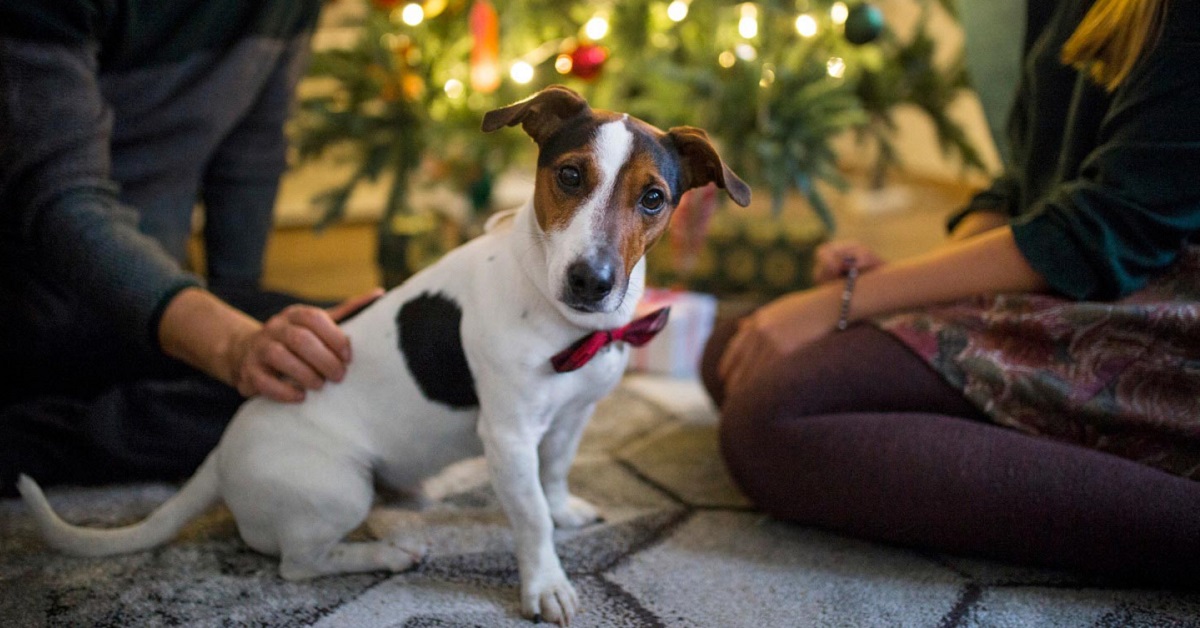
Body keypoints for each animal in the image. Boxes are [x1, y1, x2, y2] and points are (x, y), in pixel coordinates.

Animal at [16, 85, 748, 624]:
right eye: (570, 176)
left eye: (653, 198)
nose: (591, 282)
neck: (563, 318)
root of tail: (220, 457)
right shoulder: (508, 435)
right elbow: (530, 516)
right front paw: (545, 585)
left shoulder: (572, 417)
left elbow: (556, 476)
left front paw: (566, 508)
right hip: (339, 487)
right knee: (297, 562)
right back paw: (386, 555)